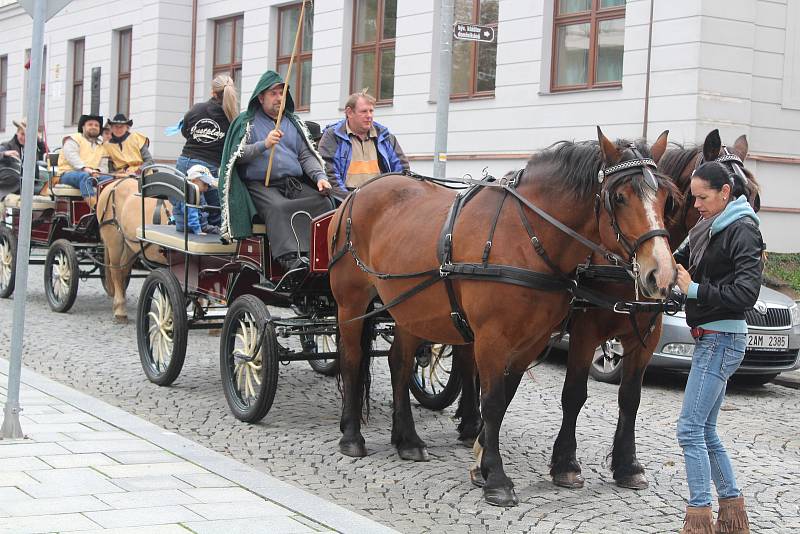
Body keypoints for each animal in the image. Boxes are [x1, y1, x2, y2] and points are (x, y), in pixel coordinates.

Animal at [97, 179, 171, 322]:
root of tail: (113, 183)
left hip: (130, 246)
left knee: (123, 271)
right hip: (115, 243)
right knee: (115, 272)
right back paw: (120, 309)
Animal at [330, 129, 676, 506]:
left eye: (666, 199)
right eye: (620, 197)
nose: (662, 274)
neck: (526, 236)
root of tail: (360, 192)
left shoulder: (533, 339)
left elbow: (508, 397)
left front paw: (481, 461)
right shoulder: (496, 338)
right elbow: (494, 401)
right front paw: (496, 477)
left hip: (410, 308)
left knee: (400, 362)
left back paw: (407, 440)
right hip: (352, 303)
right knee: (352, 358)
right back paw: (352, 436)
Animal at [544, 127, 764, 492]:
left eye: (754, 197)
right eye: (618, 198)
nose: (757, 260)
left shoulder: (645, 339)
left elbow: (630, 397)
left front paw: (628, 465)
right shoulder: (585, 334)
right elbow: (574, 393)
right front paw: (566, 463)